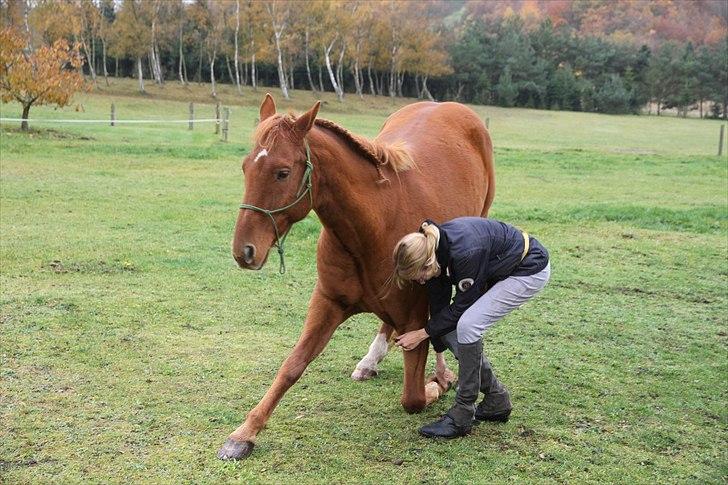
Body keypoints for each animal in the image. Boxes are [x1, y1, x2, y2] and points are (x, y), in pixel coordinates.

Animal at [222, 93, 494, 458]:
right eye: (245, 167)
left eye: (282, 173)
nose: (244, 252)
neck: (373, 224)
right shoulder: (327, 303)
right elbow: (292, 365)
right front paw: (245, 432)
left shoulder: (413, 317)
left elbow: (413, 398)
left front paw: (438, 382)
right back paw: (371, 360)